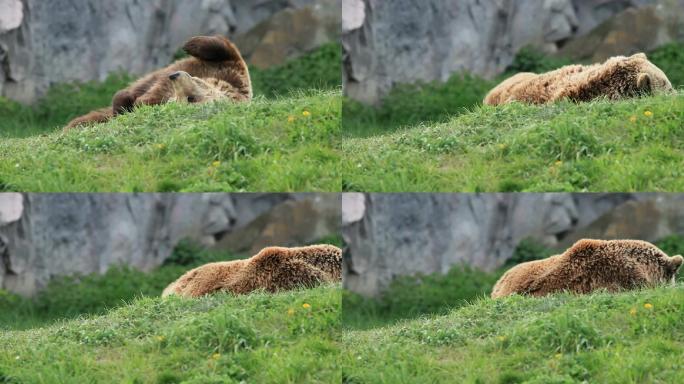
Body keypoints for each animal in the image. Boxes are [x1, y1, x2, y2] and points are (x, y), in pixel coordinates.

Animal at [63, 35, 251, 130]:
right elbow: (223, 47)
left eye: (190, 98)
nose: (174, 76)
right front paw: (189, 44)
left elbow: (145, 101)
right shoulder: (229, 69)